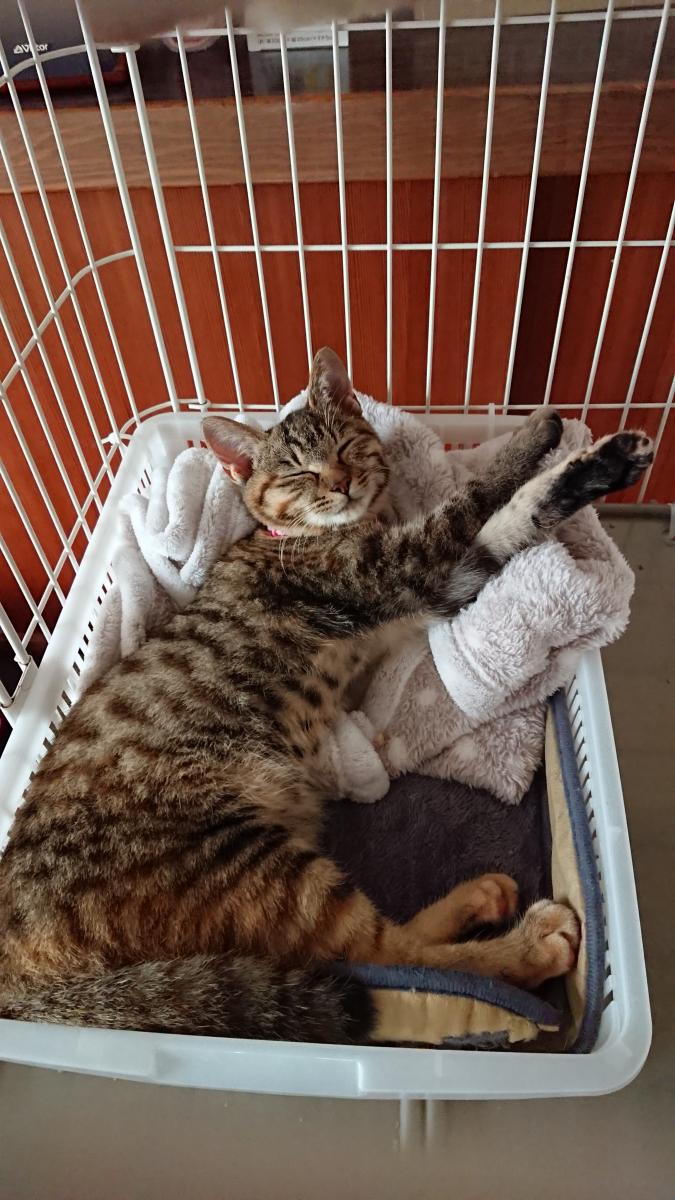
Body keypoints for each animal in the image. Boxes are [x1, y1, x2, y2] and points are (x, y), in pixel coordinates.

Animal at [0, 348, 652, 1043]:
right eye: (297, 470)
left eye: (344, 446)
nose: (340, 483)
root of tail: (22, 987)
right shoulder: (416, 564)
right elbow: (489, 501)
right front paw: (557, 444)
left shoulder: (437, 584)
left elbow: (500, 524)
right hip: (249, 862)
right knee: (394, 962)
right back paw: (527, 943)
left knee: (390, 955)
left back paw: (479, 899)